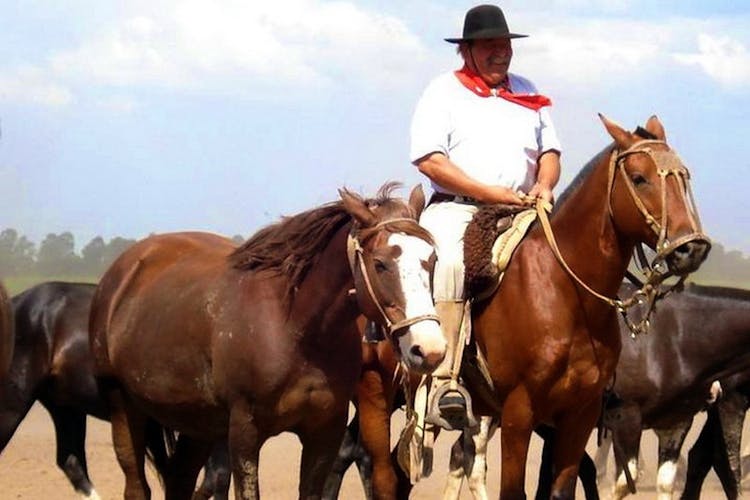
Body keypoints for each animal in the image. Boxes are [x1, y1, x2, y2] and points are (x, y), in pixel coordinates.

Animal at [91, 184, 450, 500]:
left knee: (179, 481)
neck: (296, 330)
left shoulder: (324, 432)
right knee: (137, 487)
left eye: (432, 260)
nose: (429, 349)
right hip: (123, 405)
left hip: (197, 424)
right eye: (380, 263)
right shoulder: (244, 433)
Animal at [342, 114, 712, 500]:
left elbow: (561, 488)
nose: (692, 247)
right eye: (639, 178)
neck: (565, 295)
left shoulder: (580, 412)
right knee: (378, 470)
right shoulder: (519, 410)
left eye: (684, 176)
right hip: (374, 394)